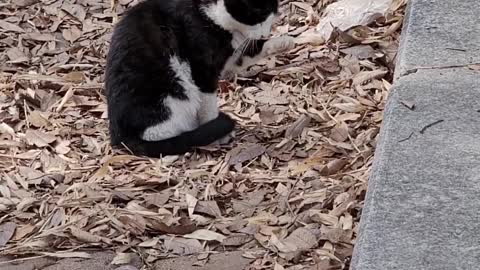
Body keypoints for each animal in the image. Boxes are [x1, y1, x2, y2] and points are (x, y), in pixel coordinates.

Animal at [104, 0, 296, 157]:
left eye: (272, 10)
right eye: (259, 14)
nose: (265, 33)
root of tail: (119, 138)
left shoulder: (231, 57)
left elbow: (248, 53)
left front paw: (283, 42)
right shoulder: (201, 69)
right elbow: (208, 104)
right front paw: (218, 134)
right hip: (169, 93)